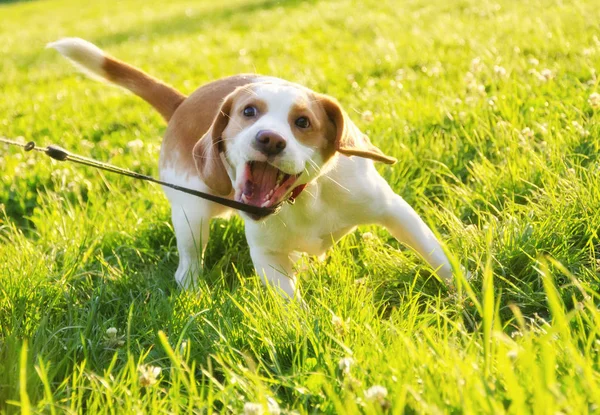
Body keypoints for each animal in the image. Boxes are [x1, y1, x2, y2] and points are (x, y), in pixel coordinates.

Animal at [49, 38, 452, 300]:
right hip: (191, 215)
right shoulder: (267, 256)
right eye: (249, 112)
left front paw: (460, 293)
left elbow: (439, 259)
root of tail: (183, 102)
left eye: (302, 122)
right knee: (187, 262)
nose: (270, 140)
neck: (304, 200)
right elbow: (293, 307)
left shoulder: (394, 212)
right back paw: (192, 290)